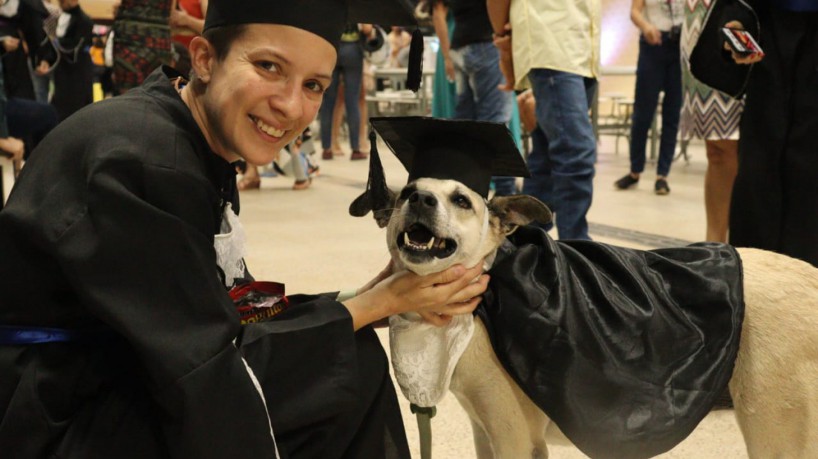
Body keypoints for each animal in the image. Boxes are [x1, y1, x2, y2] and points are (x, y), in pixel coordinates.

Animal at [356, 175, 816, 456]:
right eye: (406, 192)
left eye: (461, 200)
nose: (419, 198)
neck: (489, 287)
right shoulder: (483, 431)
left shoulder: (514, 439)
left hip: (774, 435)